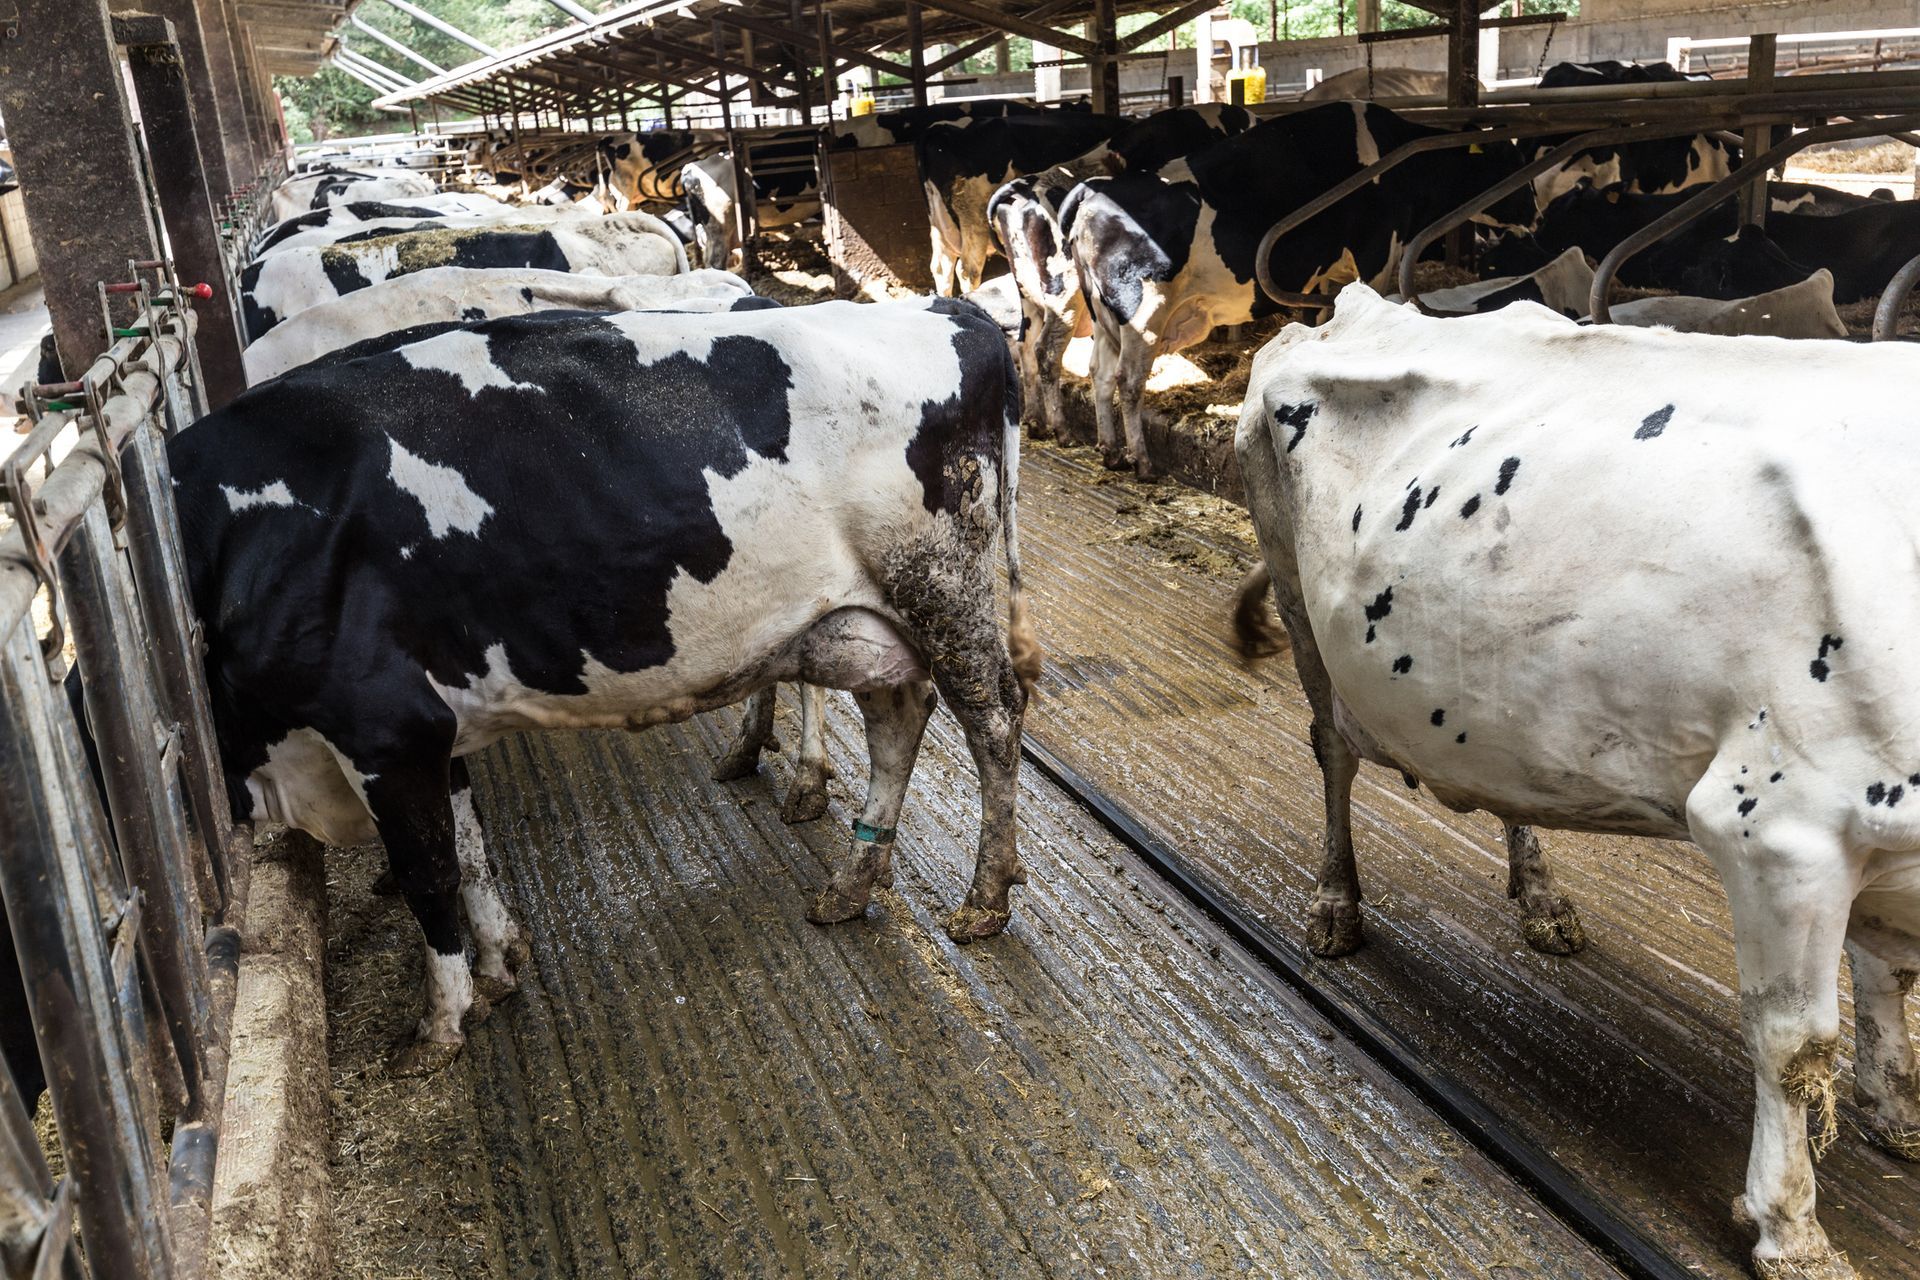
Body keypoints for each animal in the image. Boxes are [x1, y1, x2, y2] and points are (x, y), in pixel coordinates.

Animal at [169, 295, 1039, 1075]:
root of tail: (951, 309)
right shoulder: (438, 724)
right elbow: (472, 850)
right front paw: (499, 967)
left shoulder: (384, 724)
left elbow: (430, 873)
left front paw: (438, 1025)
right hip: (858, 618)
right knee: (900, 712)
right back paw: (852, 884)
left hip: (939, 583)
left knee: (994, 717)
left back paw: (986, 896)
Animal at [1062, 102, 1532, 478]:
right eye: (1511, 164)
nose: (1535, 213)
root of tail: (1093, 193)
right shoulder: (1378, 256)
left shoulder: (1325, 275)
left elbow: (1319, 320)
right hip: (1142, 314)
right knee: (1128, 381)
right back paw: (1141, 461)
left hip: (1105, 317)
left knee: (1099, 373)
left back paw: (1110, 452)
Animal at [1232, 284, 1920, 1280]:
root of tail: (1346, 306)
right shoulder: (1777, 828)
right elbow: (1797, 1048)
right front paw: (1792, 1231)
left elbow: (1890, 974)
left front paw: (1896, 1113)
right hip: (1293, 592)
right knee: (1331, 752)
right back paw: (1335, 903)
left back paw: (1541, 896)